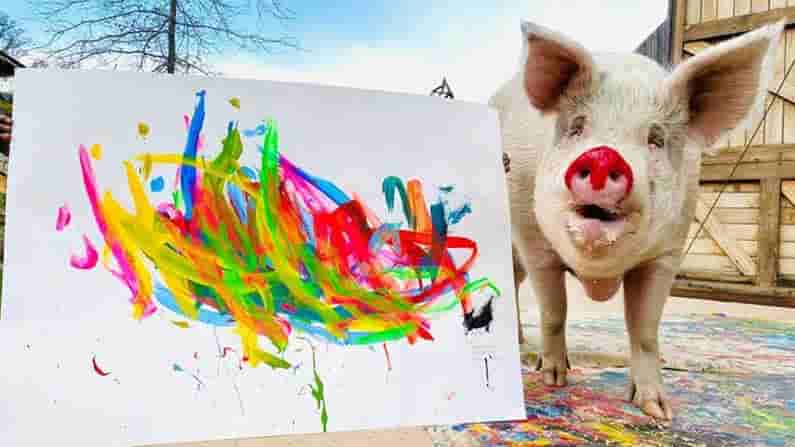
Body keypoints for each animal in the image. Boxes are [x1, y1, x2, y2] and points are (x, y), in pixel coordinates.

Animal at [490, 20, 784, 420]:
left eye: (655, 138)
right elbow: (554, 311)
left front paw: (657, 411)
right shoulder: (534, 239)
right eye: (578, 127)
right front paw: (552, 379)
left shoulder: (666, 253)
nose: (603, 156)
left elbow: (644, 328)